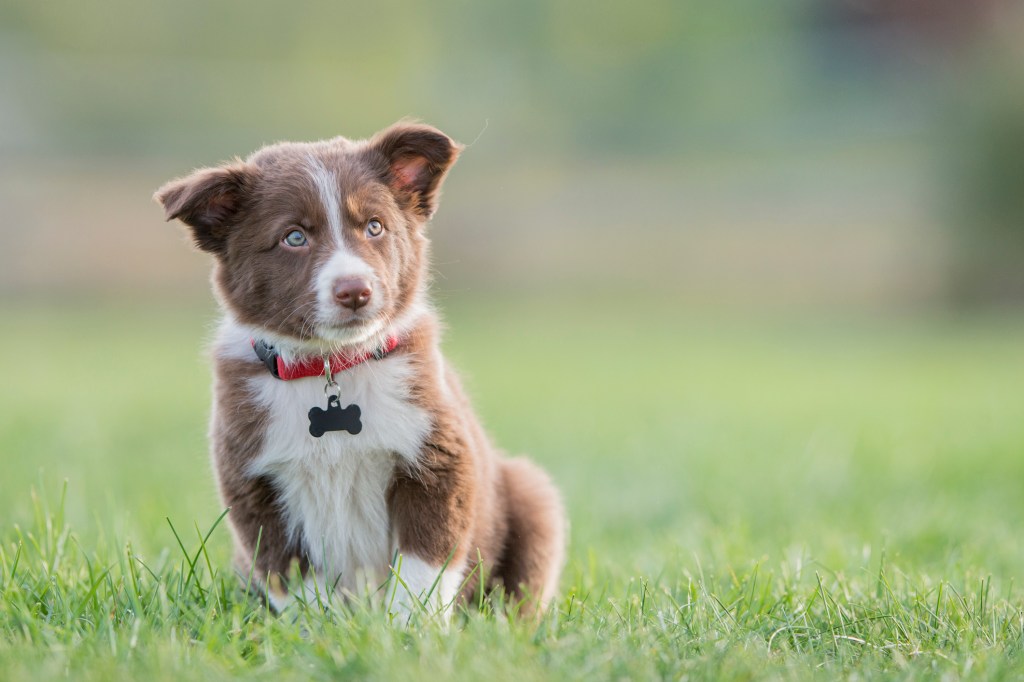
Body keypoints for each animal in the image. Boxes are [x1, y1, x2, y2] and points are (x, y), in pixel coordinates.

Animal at [155, 122, 565, 614]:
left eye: (374, 227)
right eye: (294, 237)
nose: (355, 291)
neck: (332, 364)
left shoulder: (438, 462)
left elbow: (422, 567)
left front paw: (409, 625)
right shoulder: (256, 487)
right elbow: (296, 578)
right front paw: (324, 626)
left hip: (532, 497)